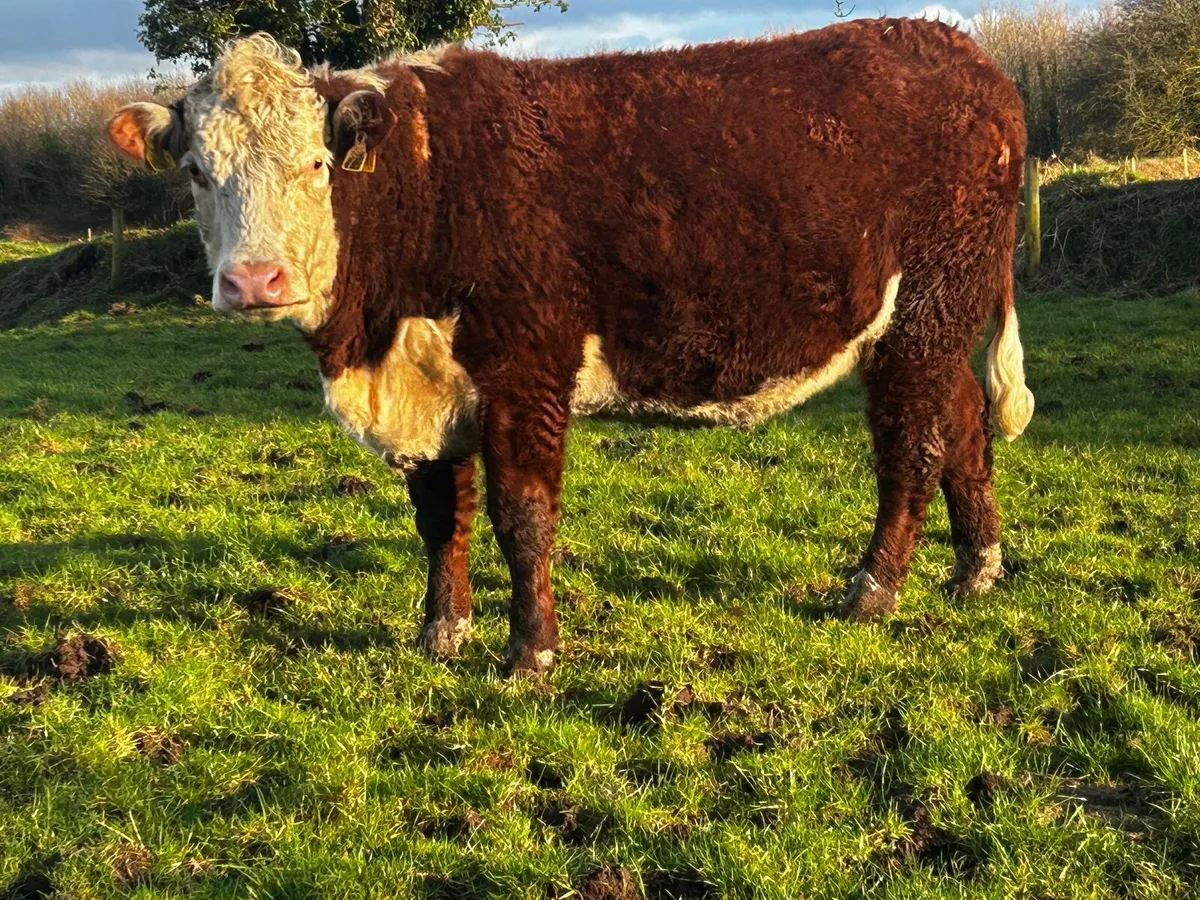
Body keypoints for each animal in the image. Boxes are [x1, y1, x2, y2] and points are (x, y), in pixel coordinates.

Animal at [107, 19, 1034, 674]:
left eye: (315, 164)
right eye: (196, 171)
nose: (254, 280)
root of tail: (961, 53)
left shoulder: (528, 365)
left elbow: (523, 513)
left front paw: (530, 654)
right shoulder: (429, 385)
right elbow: (440, 515)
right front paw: (441, 632)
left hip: (924, 312)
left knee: (913, 447)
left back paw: (872, 591)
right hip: (935, 322)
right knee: (962, 425)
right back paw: (975, 568)